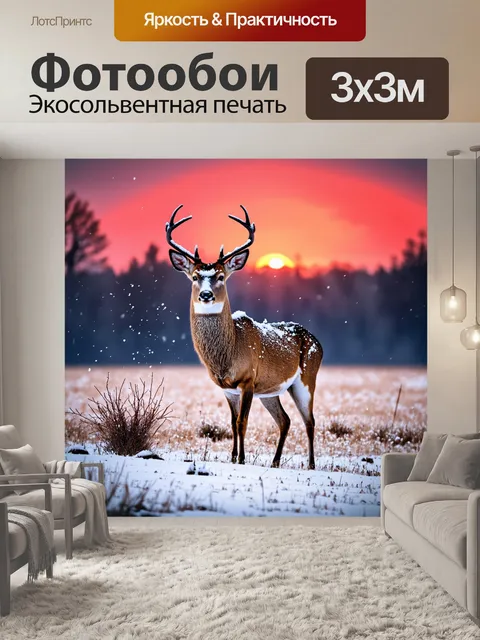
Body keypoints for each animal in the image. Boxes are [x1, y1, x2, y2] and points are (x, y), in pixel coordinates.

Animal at [166, 205, 323, 470]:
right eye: (195, 276)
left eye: (221, 276)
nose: (206, 295)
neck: (228, 354)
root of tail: (318, 343)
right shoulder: (227, 387)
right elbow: (232, 422)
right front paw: (232, 457)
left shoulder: (248, 379)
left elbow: (242, 422)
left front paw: (241, 459)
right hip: (271, 390)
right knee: (285, 420)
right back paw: (275, 462)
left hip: (306, 379)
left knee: (309, 420)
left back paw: (311, 465)